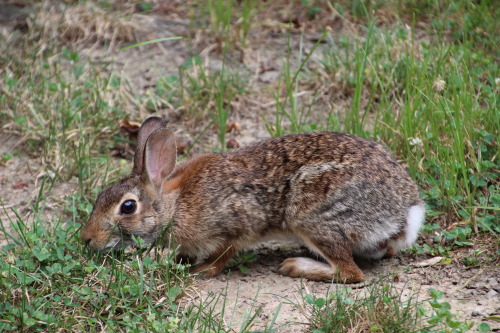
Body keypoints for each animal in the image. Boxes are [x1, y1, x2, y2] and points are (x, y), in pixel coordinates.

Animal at [80, 115, 424, 282]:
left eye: (128, 207)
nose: (86, 239)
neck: (173, 206)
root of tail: (406, 210)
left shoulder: (236, 225)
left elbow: (225, 254)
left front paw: (200, 271)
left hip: (313, 217)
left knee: (351, 274)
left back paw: (295, 266)